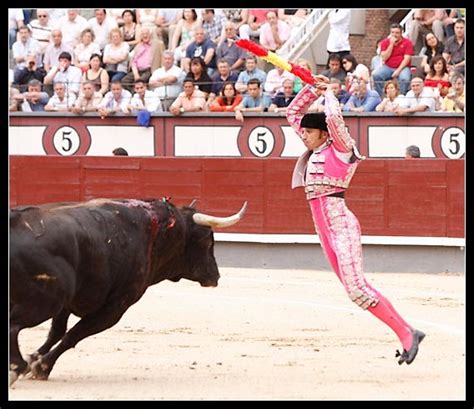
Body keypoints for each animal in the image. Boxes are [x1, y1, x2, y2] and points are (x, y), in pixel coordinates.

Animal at [9, 197, 246, 382]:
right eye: (207, 240)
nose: (215, 276)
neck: (156, 232)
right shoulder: (115, 308)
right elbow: (74, 334)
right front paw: (41, 366)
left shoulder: (70, 302)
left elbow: (58, 331)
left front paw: (34, 359)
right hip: (45, 301)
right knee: (14, 325)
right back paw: (17, 368)